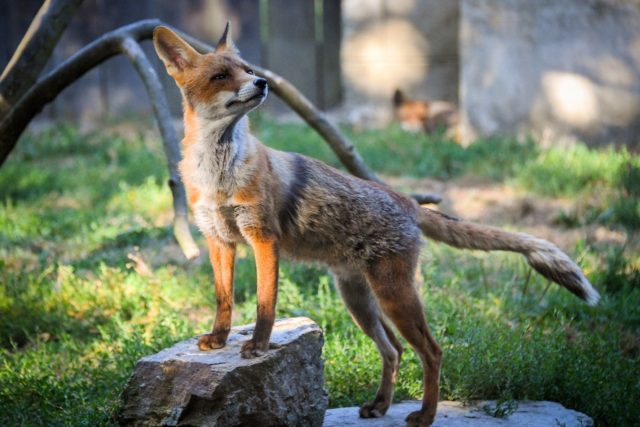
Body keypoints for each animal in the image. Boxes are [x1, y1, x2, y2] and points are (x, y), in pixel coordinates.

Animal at [154, 24, 600, 427]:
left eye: (247, 69)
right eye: (221, 76)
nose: (262, 82)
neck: (218, 173)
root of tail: (408, 201)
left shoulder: (263, 238)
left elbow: (266, 302)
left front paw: (259, 345)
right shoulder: (218, 239)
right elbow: (224, 299)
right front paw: (219, 338)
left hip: (392, 295)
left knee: (431, 351)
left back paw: (424, 416)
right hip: (359, 300)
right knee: (395, 350)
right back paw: (380, 406)